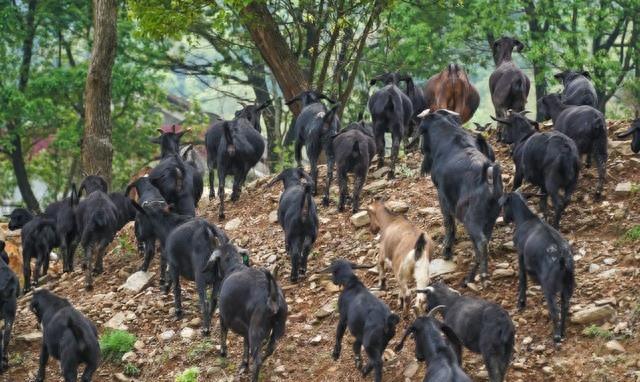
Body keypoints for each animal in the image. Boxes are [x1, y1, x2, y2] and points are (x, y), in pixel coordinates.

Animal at [130, 201, 228, 336]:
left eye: (138, 219)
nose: (138, 237)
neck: (168, 226)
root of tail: (208, 230)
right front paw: (165, 289)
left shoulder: (173, 264)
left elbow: (176, 287)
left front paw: (178, 311)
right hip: (217, 279)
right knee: (213, 300)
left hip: (200, 277)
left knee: (205, 302)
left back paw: (205, 328)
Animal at [204, 243, 286, 380]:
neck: (234, 266)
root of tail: (272, 297)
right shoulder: (246, 328)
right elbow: (245, 345)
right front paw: (244, 364)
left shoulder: (223, 317)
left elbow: (223, 335)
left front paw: (223, 352)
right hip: (276, 331)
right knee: (268, 351)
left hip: (255, 332)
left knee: (257, 360)